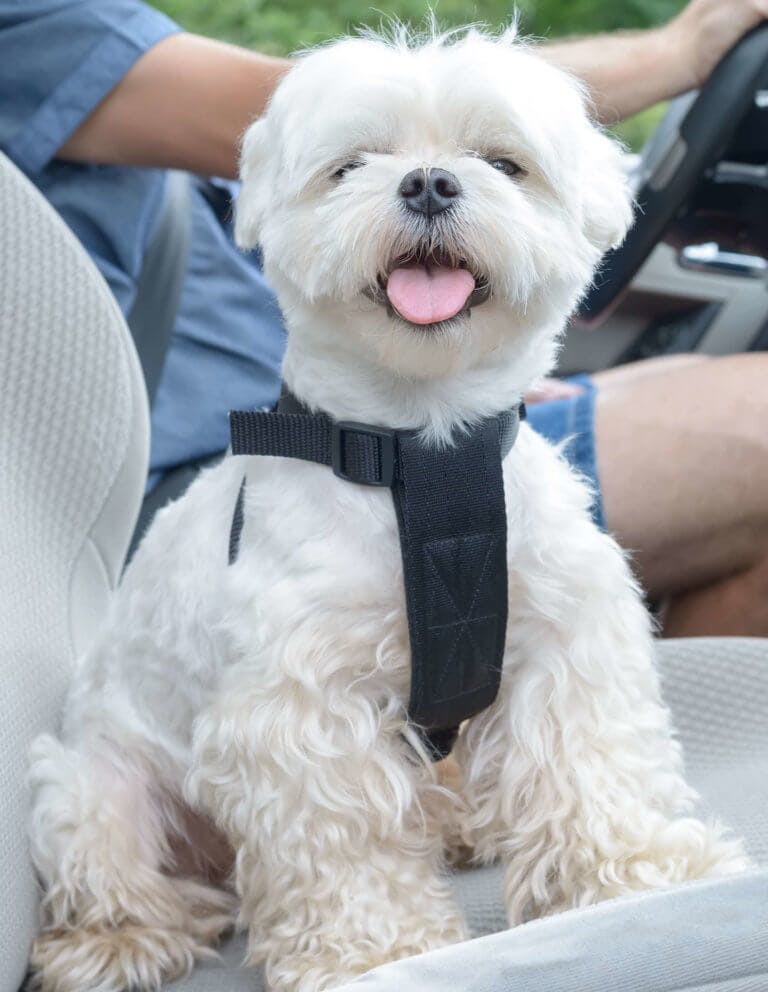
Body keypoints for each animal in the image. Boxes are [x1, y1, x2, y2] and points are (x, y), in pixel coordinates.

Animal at [27, 27, 748, 992]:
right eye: (351, 166)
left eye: (502, 163)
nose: (430, 181)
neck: (421, 451)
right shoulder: (301, 704)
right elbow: (344, 847)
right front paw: (378, 952)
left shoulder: (566, 642)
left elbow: (593, 771)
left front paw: (644, 877)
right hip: (88, 790)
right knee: (113, 867)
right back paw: (122, 938)